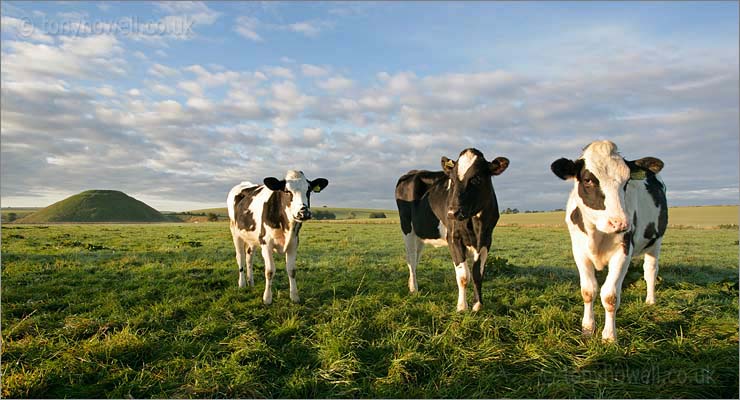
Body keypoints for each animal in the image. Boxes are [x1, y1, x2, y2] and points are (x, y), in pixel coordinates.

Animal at [227, 170, 328, 304]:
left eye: (308, 190)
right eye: (287, 191)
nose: (304, 212)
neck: (286, 226)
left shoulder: (294, 243)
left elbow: (292, 270)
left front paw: (294, 296)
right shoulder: (266, 244)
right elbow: (269, 271)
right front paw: (267, 298)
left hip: (252, 238)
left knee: (249, 257)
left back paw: (251, 282)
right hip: (235, 232)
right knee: (240, 258)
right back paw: (242, 283)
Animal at [396, 148, 512, 310]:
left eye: (477, 178)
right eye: (452, 180)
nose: (452, 213)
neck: (475, 225)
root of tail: (413, 172)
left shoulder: (486, 240)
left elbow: (477, 274)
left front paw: (477, 305)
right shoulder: (453, 238)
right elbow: (463, 276)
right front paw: (462, 307)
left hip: (420, 234)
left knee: (416, 257)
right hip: (407, 228)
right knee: (411, 258)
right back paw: (414, 289)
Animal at [552, 140, 668, 340]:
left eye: (627, 181)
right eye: (588, 180)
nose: (619, 223)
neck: (596, 233)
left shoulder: (623, 253)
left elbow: (610, 295)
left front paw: (609, 336)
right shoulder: (579, 252)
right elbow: (588, 290)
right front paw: (588, 328)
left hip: (656, 242)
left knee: (650, 271)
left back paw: (650, 300)